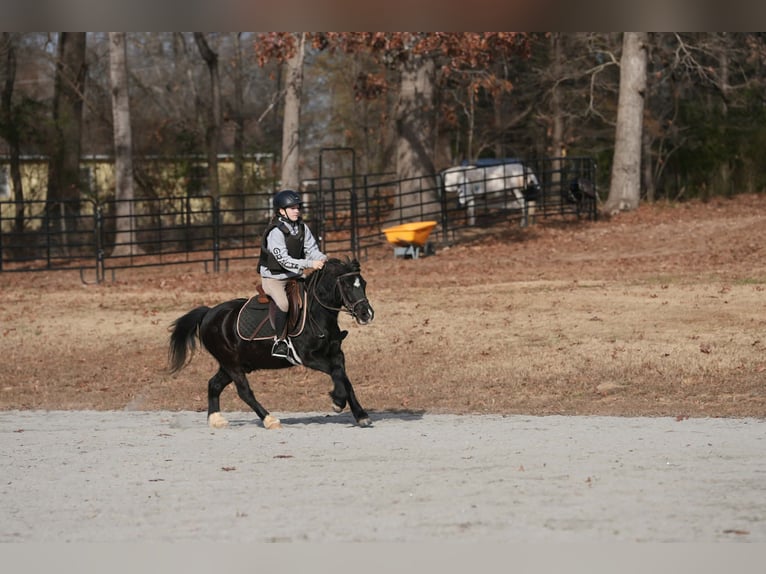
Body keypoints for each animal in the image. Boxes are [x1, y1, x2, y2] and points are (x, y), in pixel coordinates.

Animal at [167, 258, 375, 430]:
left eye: (363, 284)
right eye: (347, 286)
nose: (367, 314)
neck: (317, 315)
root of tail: (208, 313)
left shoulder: (336, 355)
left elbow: (344, 378)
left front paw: (360, 415)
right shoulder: (310, 358)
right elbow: (336, 372)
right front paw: (337, 402)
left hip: (233, 365)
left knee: (214, 384)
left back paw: (216, 420)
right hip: (232, 365)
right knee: (244, 392)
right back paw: (269, 419)